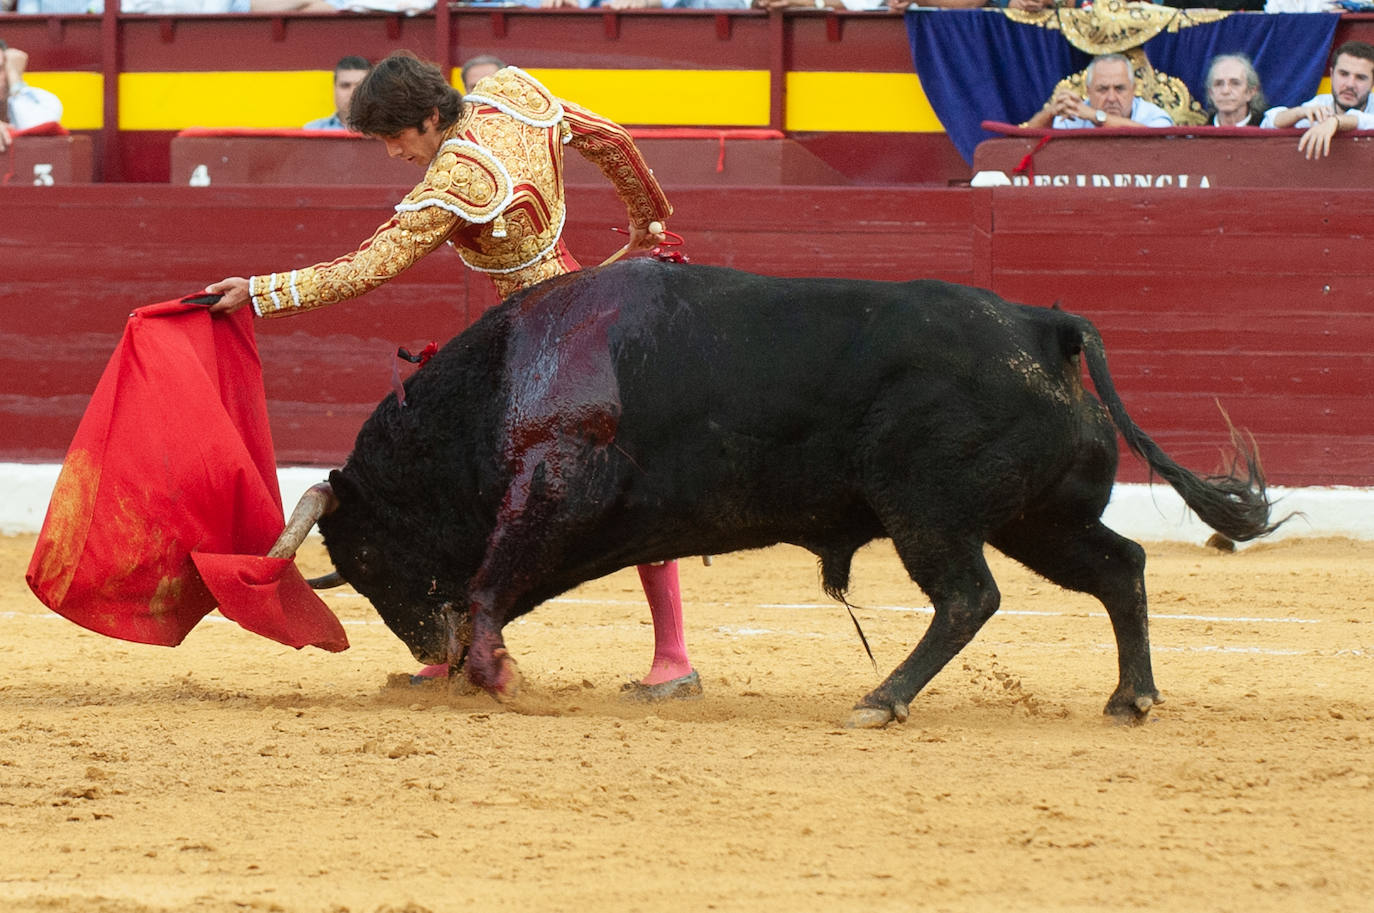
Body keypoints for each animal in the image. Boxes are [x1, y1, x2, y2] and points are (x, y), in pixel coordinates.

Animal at [284, 258, 1280, 726]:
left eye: (365, 553)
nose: (428, 649)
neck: (496, 387)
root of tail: (1046, 325)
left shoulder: (558, 489)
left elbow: (493, 582)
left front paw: (493, 674)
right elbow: (499, 582)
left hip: (930, 510)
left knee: (969, 596)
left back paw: (881, 698)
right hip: (1041, 518)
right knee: (1120, 567)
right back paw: (1131, 697)